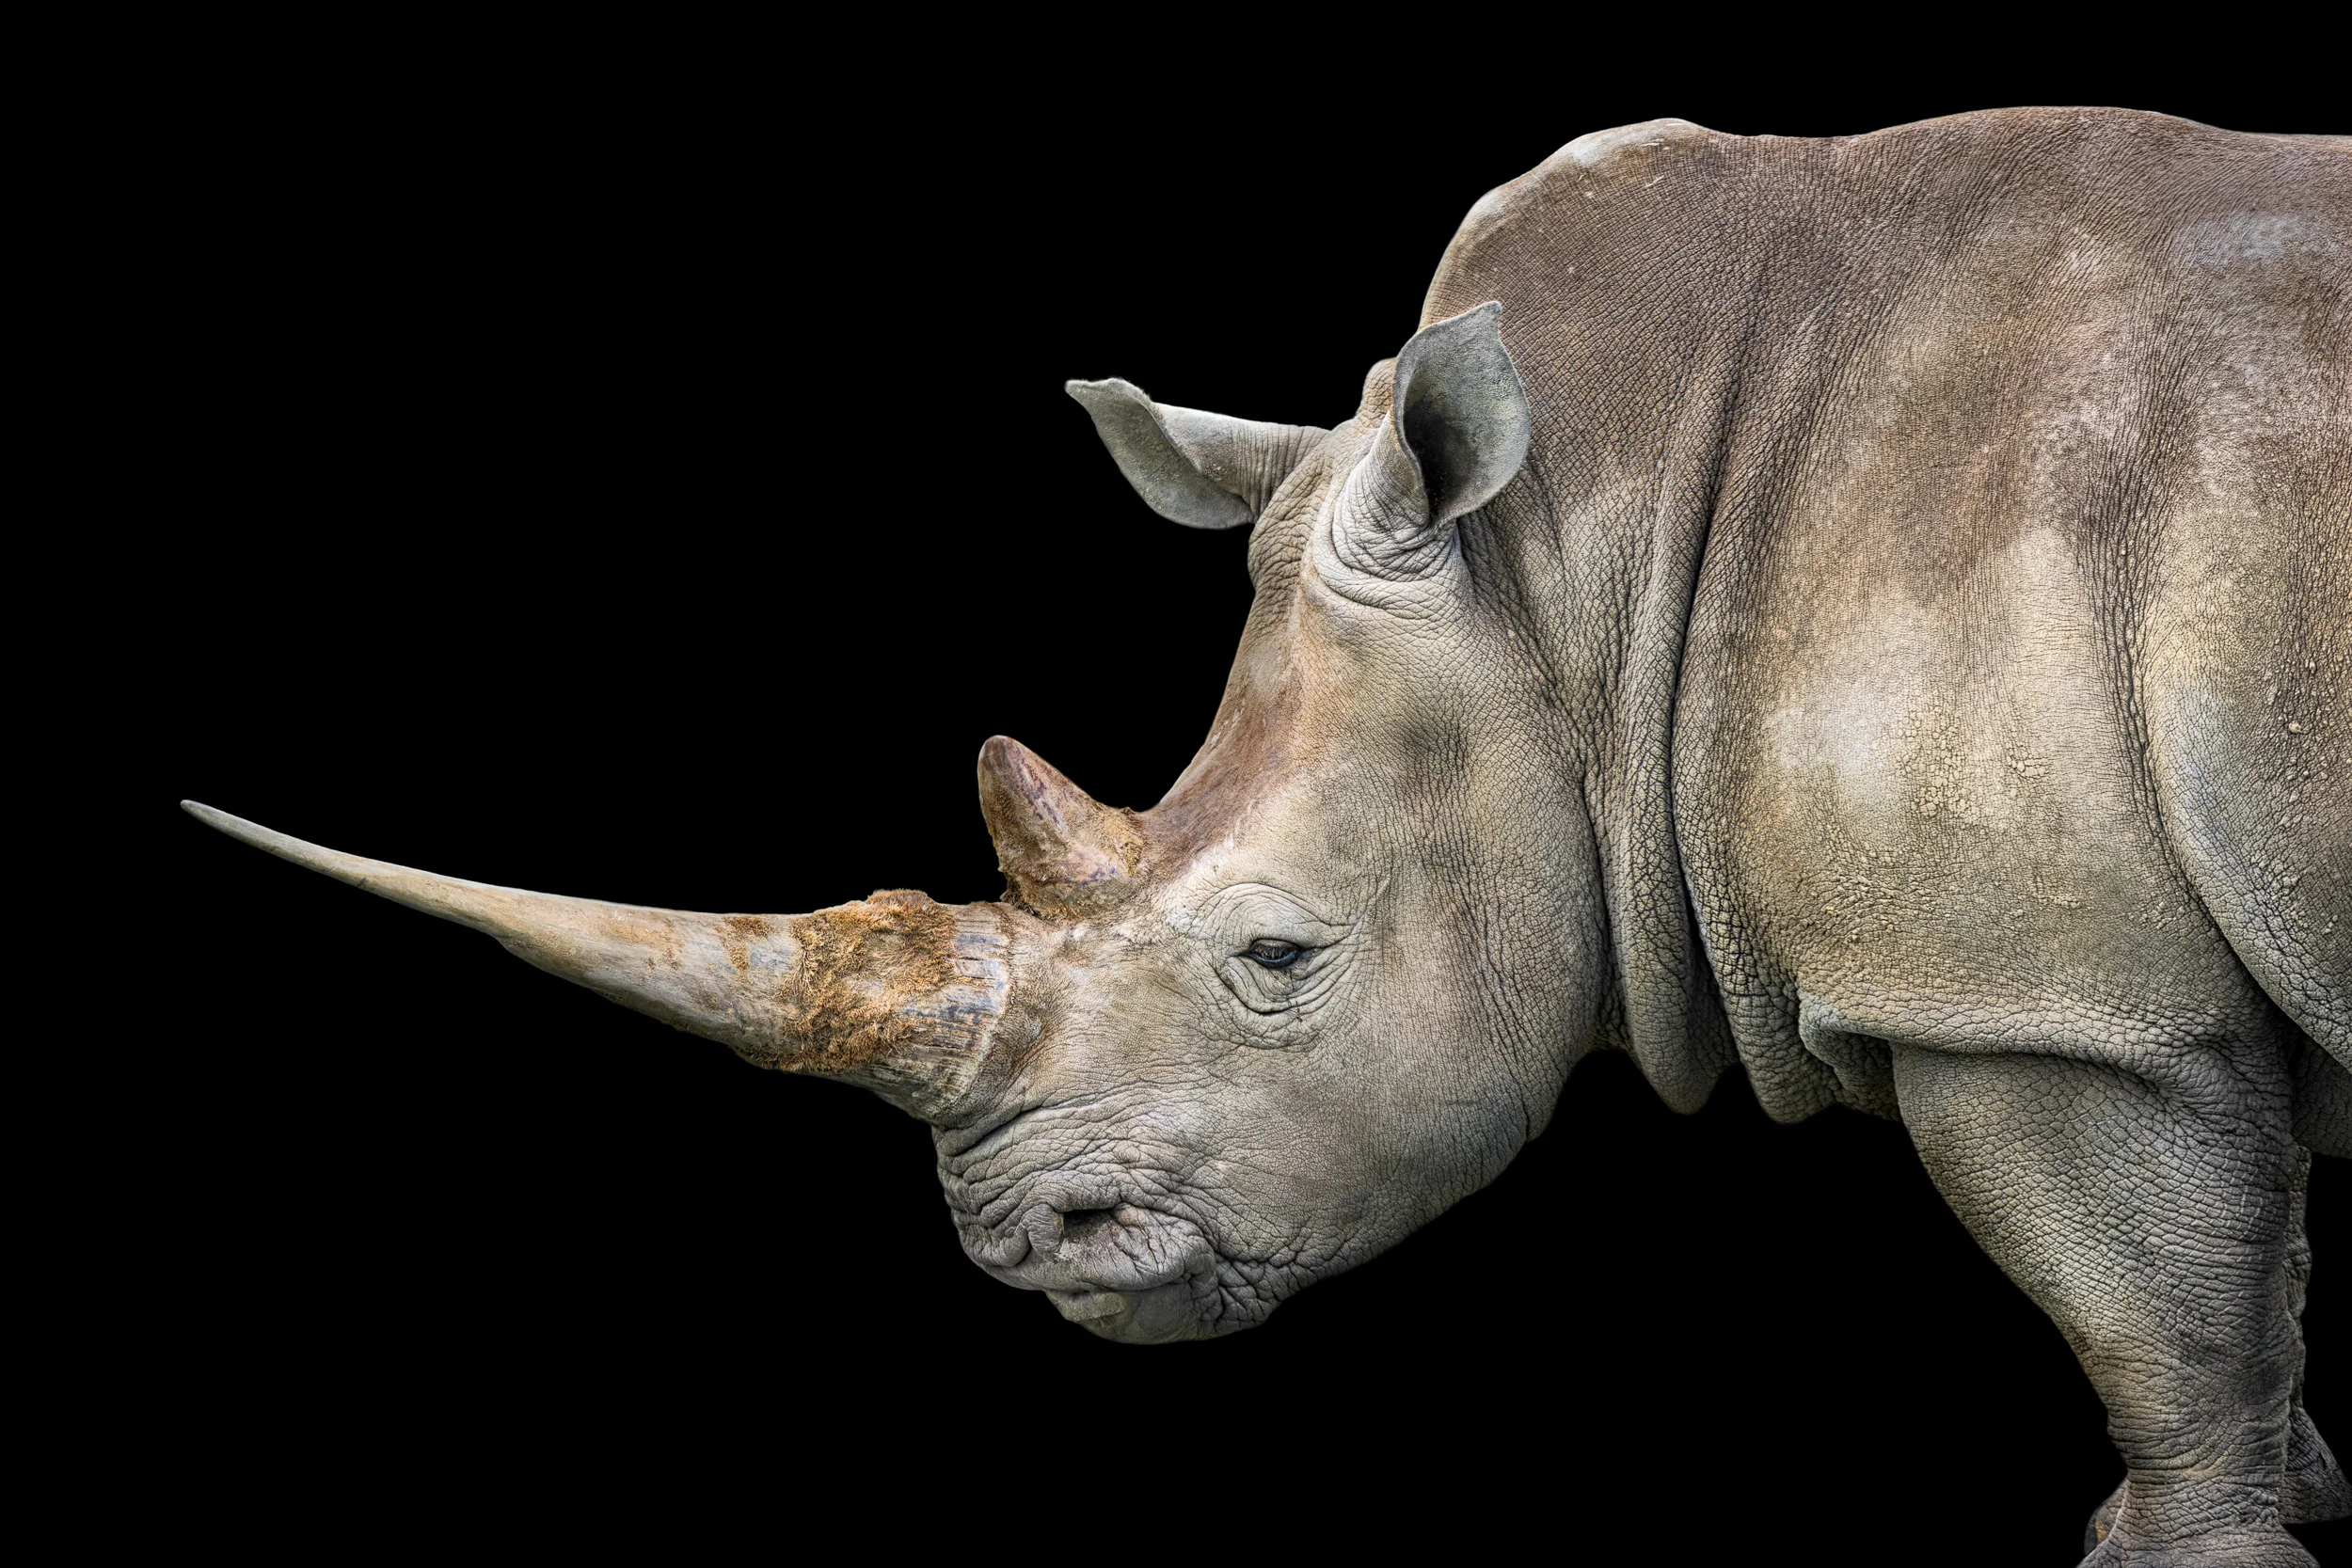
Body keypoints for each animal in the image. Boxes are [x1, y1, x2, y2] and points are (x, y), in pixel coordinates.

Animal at [187, 107, 2346, 1563]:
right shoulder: (2133, 969)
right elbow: (2247, 1261)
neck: (1589, 551)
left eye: (1279, 957)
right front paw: (2302, 1483)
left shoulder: (2041, 988)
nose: (1023, 1247)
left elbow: (2144, 1297)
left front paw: (2187, 1539)